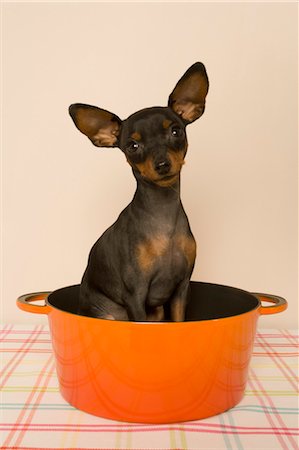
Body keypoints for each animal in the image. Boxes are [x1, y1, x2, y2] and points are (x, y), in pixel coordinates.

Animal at [68, 61, 209, 322]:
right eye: (132, 146)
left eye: (176, 131)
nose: (162, 164)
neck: (163, 216)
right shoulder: (135, 294)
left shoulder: (181, 289)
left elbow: (179, 321)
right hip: (107, 314)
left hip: (158, 312)